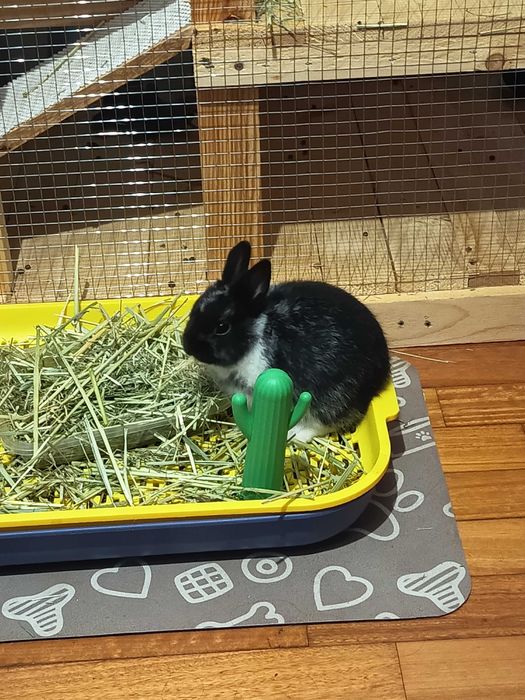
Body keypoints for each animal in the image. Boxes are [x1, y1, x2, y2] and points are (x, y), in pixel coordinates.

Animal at [182, 241, 391, 443]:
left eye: (222, 327)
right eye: (195, 308)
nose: (188, 346)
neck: (256, 333)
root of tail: (381, 373)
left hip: (332, 396)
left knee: (328, 420)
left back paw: (297, 434)